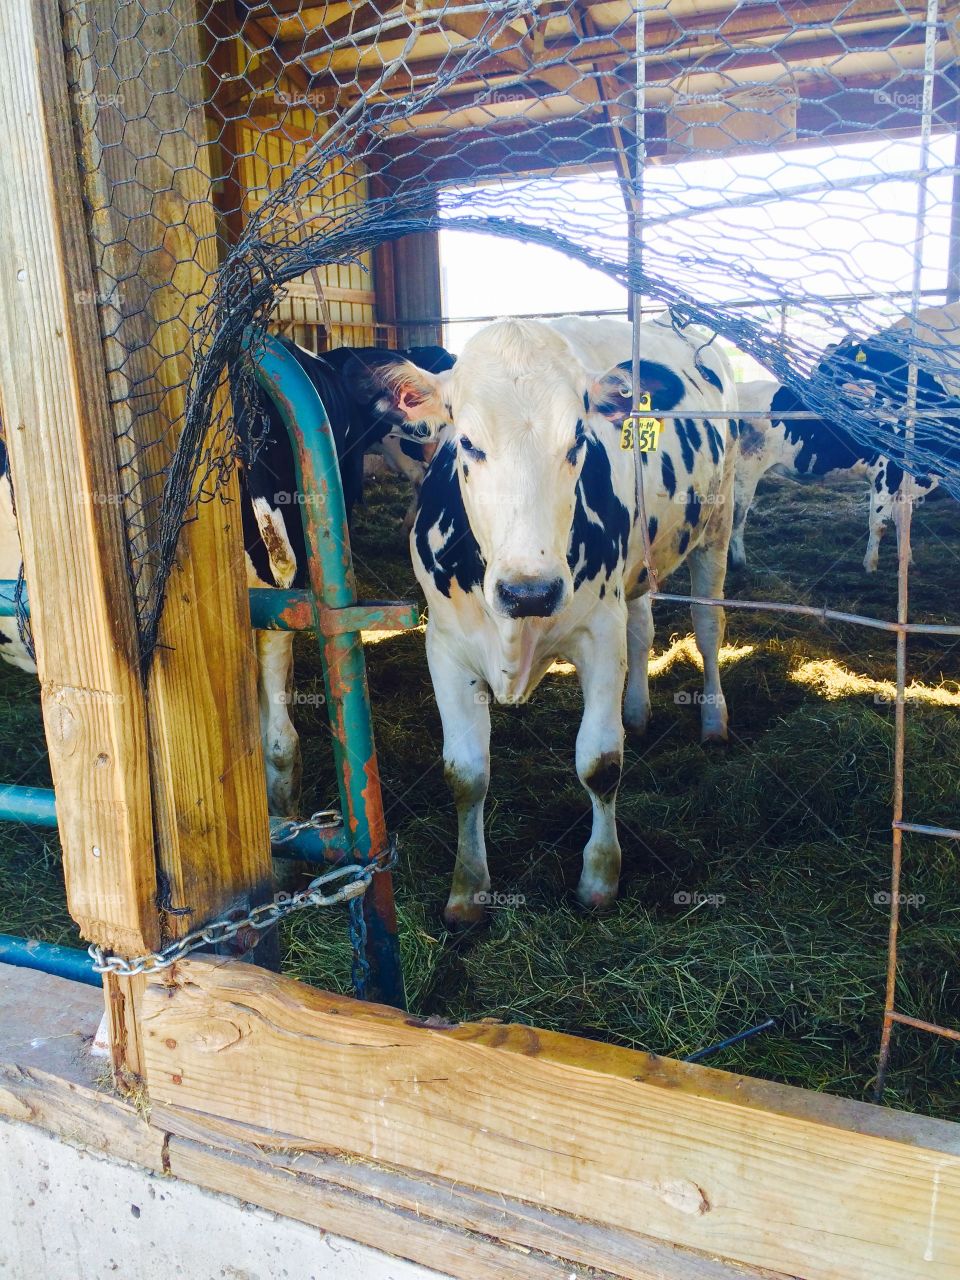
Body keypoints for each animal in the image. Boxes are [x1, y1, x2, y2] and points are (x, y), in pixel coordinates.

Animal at [373, 313, 737, 925]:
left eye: (577, 441)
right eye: (467, 442)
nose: (530, 590)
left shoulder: (598, 635)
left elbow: (600, 762)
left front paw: (600, 877)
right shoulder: (444, 646)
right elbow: (465, 774)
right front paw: (468, 890)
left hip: (717, 524)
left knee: (708, 629)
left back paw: (713, 720)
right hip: (636, 573)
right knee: (642, 627)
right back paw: (637, 711)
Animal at [730, 303, 960, 572]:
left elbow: (903, 521)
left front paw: (907, 560)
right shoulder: (885, 476)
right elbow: (878, 523)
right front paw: (870, 566)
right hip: (744, 471)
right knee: (737, 516)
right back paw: (739, 563)